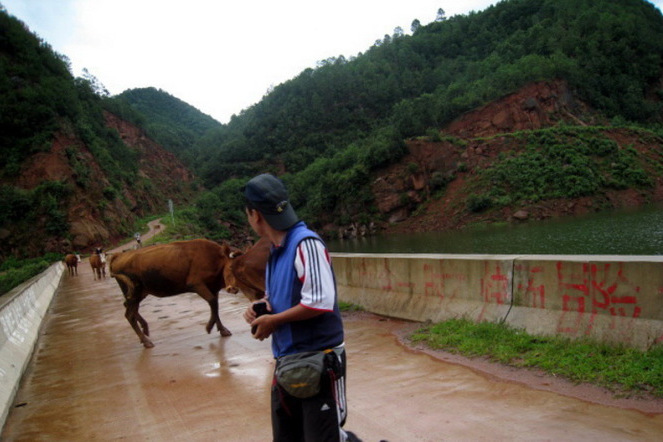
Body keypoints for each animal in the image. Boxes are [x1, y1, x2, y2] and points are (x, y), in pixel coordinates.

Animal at [109, 238, 254, 348]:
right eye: (230, 267)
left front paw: (222, 330)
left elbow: (215, 306)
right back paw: (146, 341)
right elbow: (213, 303)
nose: (233, 288)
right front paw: (209, 327)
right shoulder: (195, 283)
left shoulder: (212, 288)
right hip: (135, 292)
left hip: (137, 293)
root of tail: (118, 255)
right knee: (129, 315)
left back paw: (145, 330)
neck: (214, 259)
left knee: (129, 308)